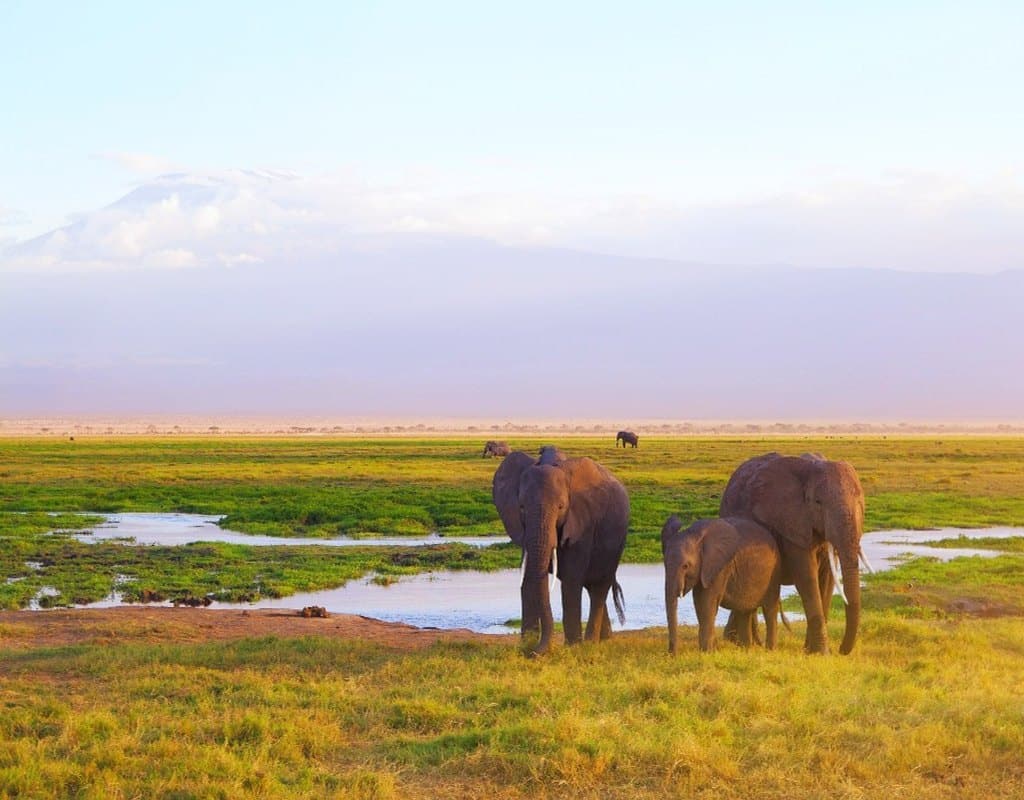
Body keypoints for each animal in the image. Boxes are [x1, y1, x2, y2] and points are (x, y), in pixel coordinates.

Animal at [492, 450, 630, 656]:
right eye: (522, 507)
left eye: (560, 507)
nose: (533, 653)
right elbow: (529, 575)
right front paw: (526, 644)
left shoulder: (583, 522)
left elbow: (571, 580)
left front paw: (572, 647)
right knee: (592, 587)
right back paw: (604, 640)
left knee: (599, 586)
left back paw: (591, 643)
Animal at [662, 515, 784, 653]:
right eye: (664, 564)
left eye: (685, 566)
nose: (672, 654)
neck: (696, 534)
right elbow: (700, 602)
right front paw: (712, 650)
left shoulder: (721, 566)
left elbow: (706, 601)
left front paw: (707, 652)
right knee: (744, 611)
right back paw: (746, 649)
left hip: (774, 572)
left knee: (769, 609)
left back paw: (770, 650)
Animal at [719, 452, 868, 655]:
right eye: (818, 502)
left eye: (860, 501)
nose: (841, 650)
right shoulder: (791, 523)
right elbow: (806, 576)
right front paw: (822, 653)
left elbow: (827, 578)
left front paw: (811, 651)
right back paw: (739, 642)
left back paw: (743, 641)